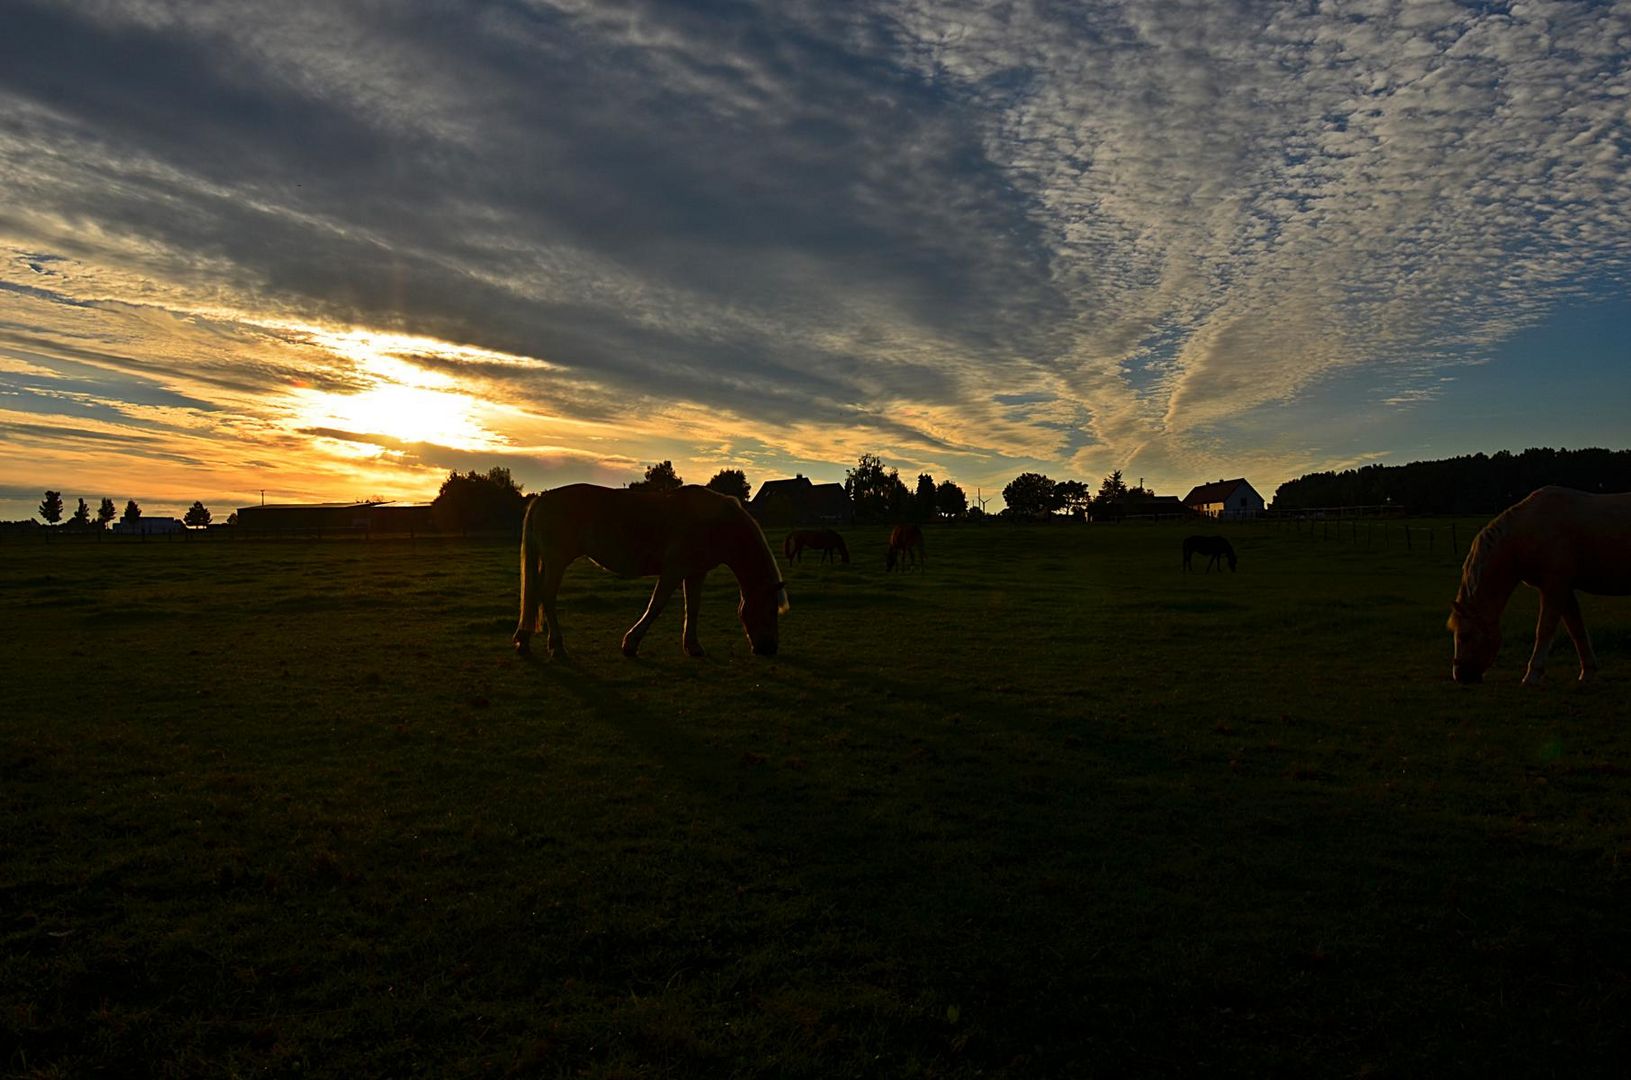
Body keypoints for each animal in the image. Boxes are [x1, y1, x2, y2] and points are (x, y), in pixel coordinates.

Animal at [512, 482, 786, 659]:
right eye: (770, 609)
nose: (770, 648)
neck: (716, 523)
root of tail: (541, 499)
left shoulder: (695, 573)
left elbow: (693, 608)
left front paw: (693, 647)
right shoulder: (673, 571)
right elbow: (656, 605)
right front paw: (630, 644)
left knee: (536, 594)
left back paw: (524, 640)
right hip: (557, 561)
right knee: (547, 596)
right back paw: (556, 646)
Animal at [1448, 489, 1631, 685]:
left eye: (1464, 636)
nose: (1460, 676)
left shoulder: (1554, 588)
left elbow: (1544, 629)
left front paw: (1532, 675)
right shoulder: (1564, 590)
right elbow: (1576, 629)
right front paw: (1587, 672)